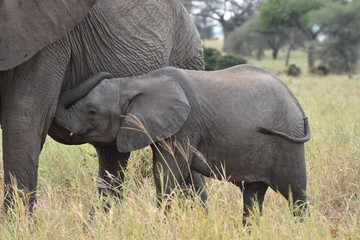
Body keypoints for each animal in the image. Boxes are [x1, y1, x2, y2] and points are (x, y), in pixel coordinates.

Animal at [0, 0, 207, 213]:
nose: (108, 75)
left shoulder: (49, 43)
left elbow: (23, 120)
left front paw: (17, 222)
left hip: (186, 59)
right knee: (112, 154)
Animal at [54, 64, 310, 223]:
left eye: (91, 111)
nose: (105, 71)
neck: (136, 82)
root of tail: (295, 100)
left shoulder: (186, 125)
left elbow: (167, 172)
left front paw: (162, 225)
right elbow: (169, 171)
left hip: (288, 142)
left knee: (295, 194)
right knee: (253, 196)